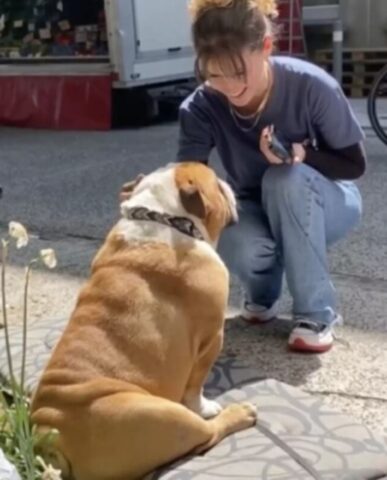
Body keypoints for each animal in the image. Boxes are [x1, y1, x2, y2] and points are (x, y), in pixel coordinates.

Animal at [31, 162, 258, 480]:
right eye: (215, 182)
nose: (227, 183)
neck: (165, 216)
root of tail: (51, 436)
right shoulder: (212, 337)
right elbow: (196, 386)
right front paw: (206, 404)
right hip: (163, 414)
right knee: (205, 434)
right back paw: (240, 413)